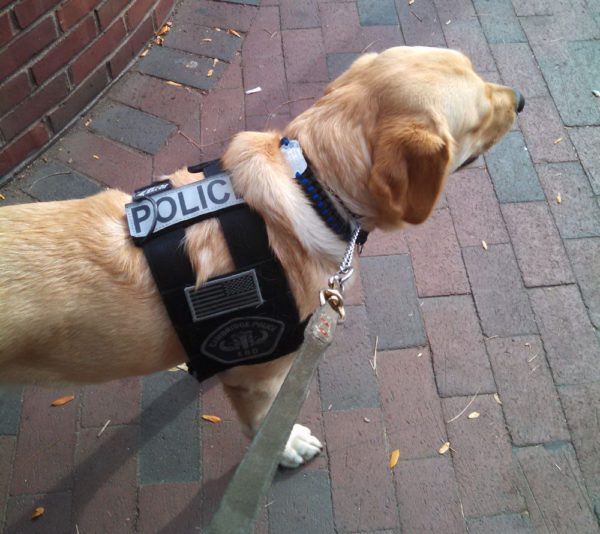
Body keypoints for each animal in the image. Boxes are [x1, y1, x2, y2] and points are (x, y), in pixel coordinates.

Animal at [0, 47, 520, 468]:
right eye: (476, 121)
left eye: (475, 67)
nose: (519, 99)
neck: (312, 185)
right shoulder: (261, 378)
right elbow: (263, 425)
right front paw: (285, 447)